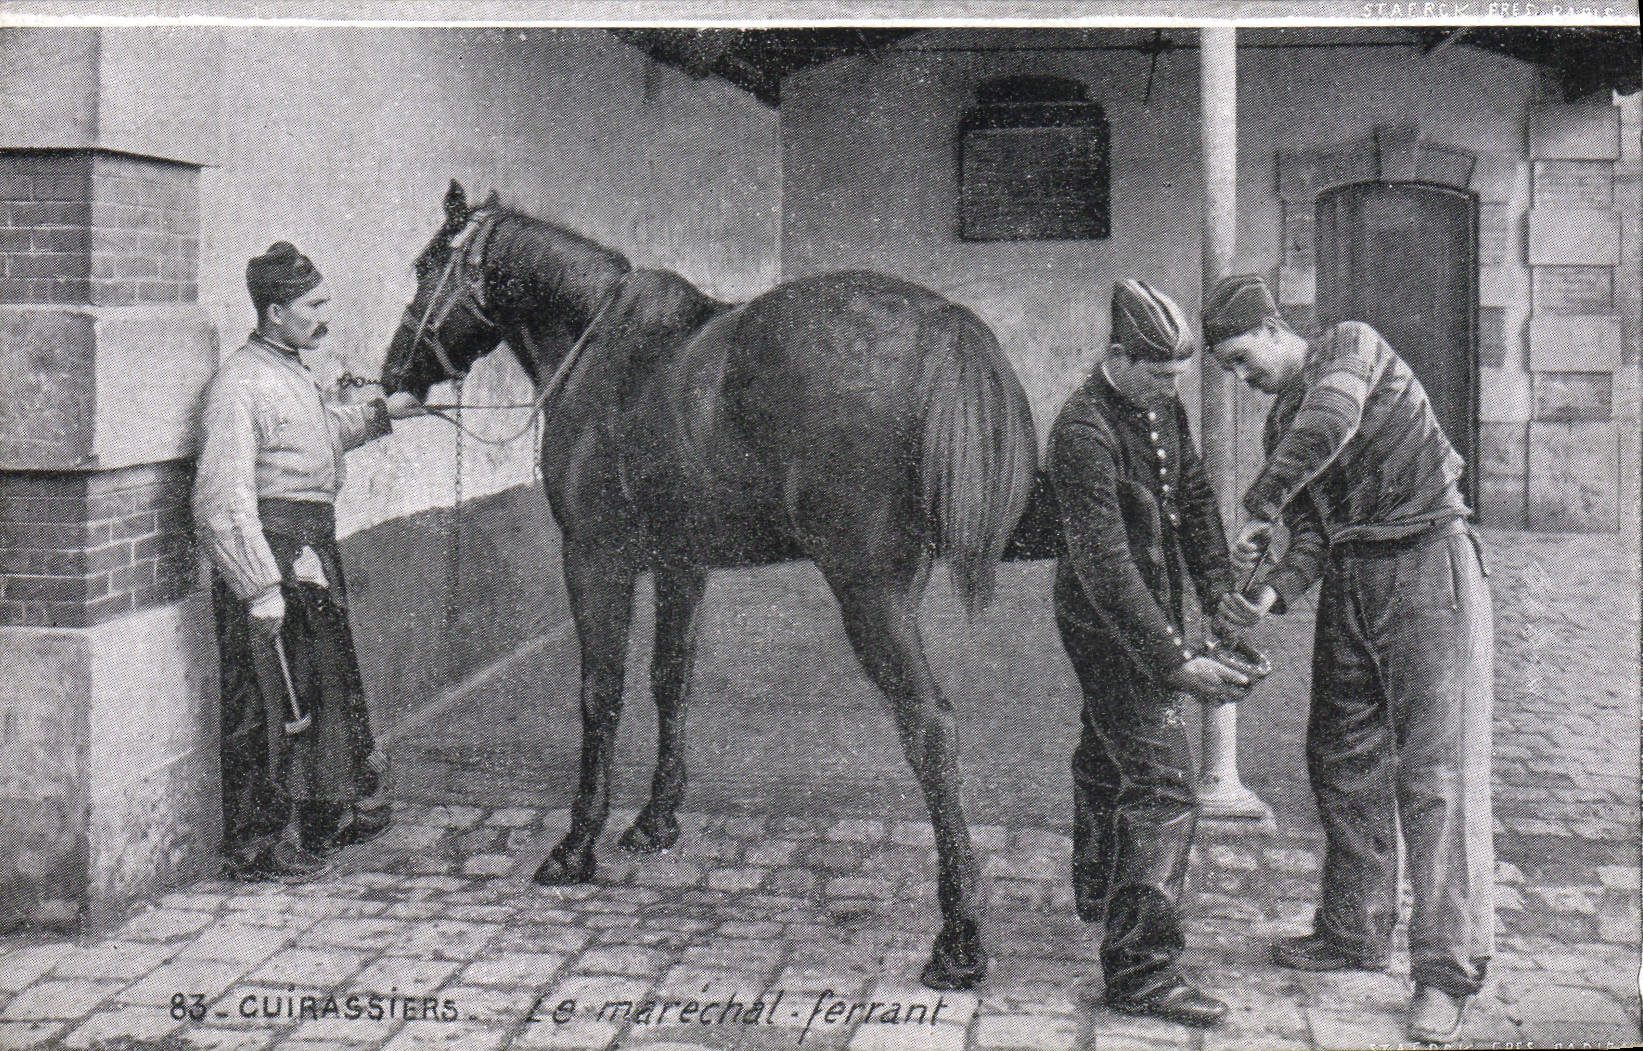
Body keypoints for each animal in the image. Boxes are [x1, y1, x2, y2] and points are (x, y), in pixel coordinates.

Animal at [382, 180, 1037, 990]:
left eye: (426, 266)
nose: (393, 373)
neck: (600, 351)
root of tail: (942, 323)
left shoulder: (595, 557)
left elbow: (600, 693)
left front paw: (576, 845)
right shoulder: (680, 563)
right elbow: (672, 679)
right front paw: (655, 819)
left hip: (869, 594)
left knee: (929, 727)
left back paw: (959, 937)